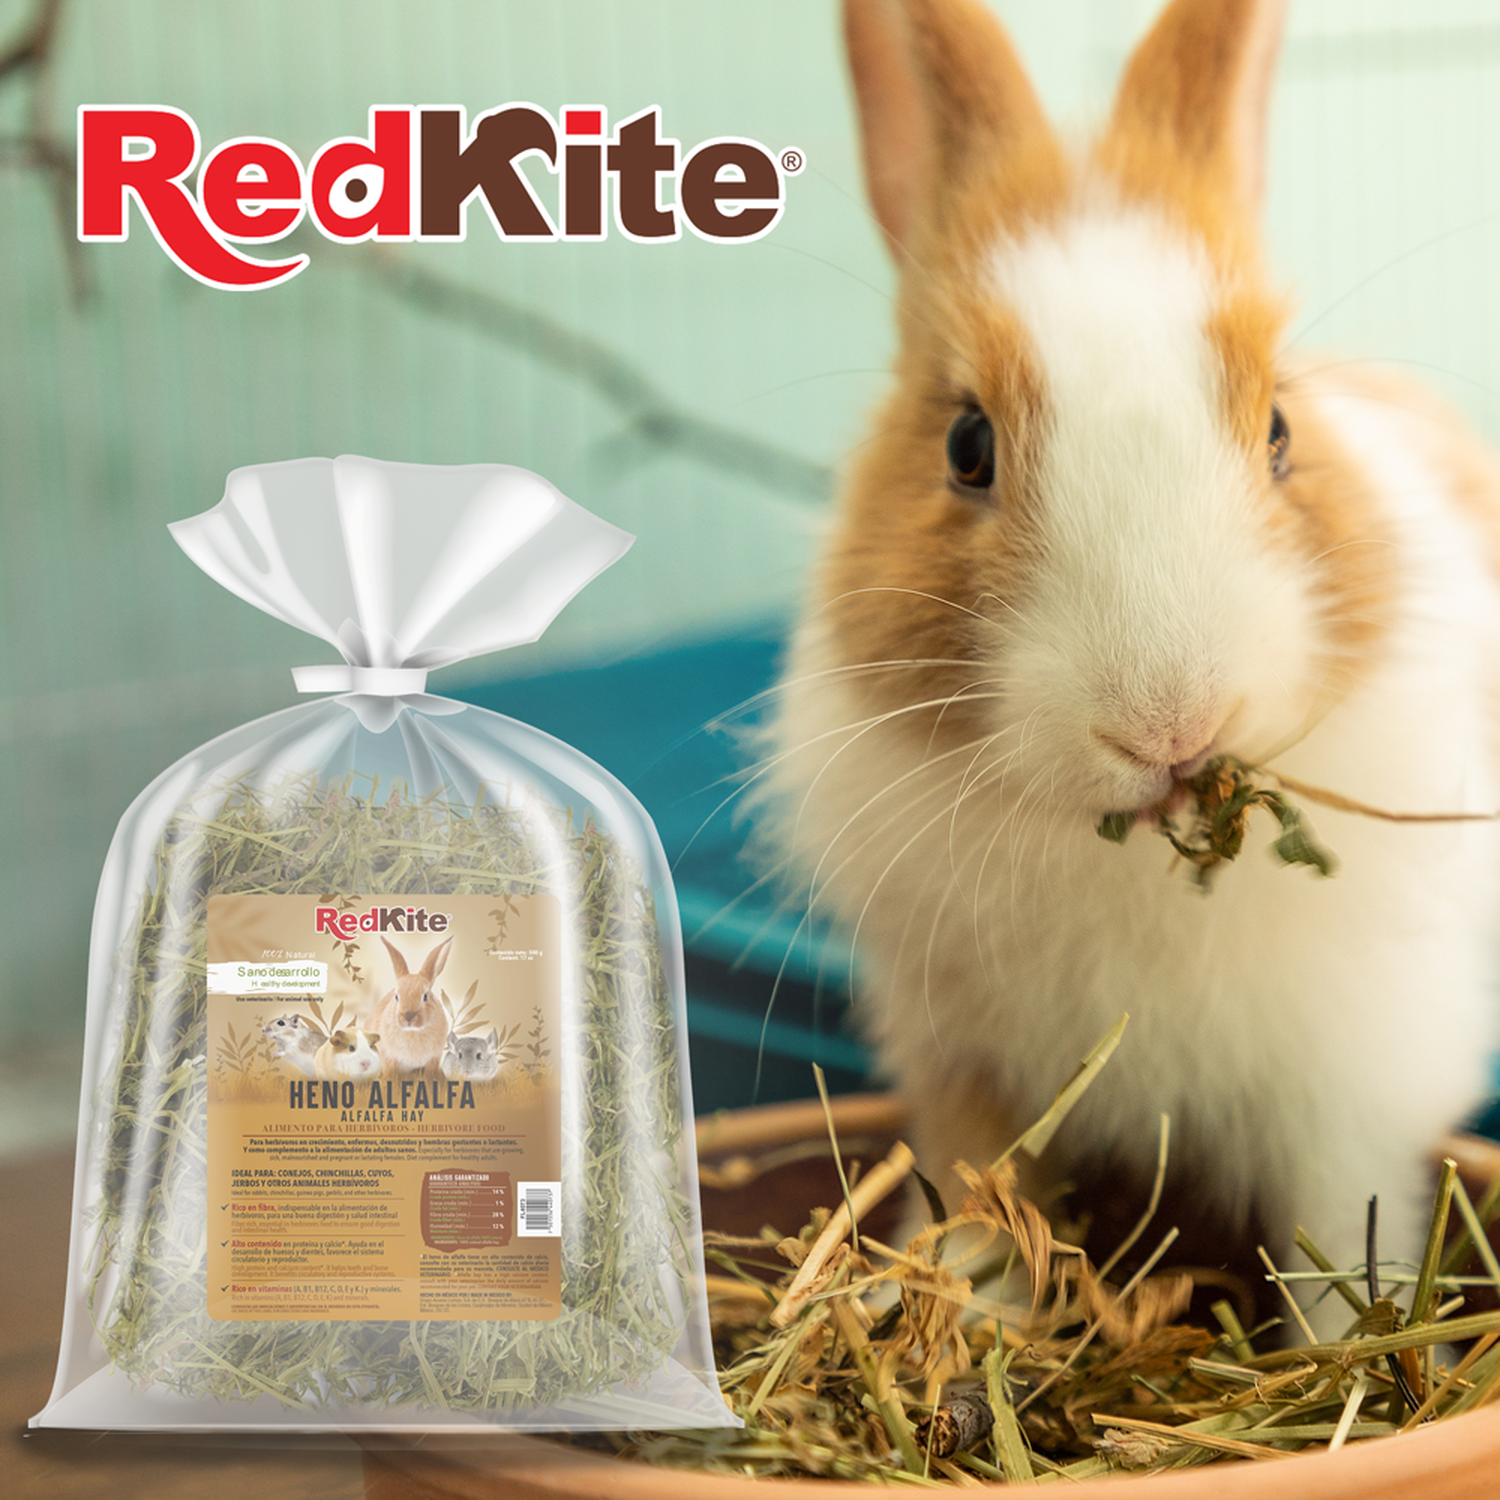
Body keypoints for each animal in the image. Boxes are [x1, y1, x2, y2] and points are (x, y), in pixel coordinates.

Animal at [366, 935, 453, 1075]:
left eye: (425, 996)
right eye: (396, 996)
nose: (408, 1017)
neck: (413, 1030)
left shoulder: (434, 1058)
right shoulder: (387, 1055)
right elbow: (390, 1071)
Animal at [764, 0, 1500, 1332]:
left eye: (1281, 430)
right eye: (966, 445)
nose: (1172, 724)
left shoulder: (1347, 1084)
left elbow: (1336, 1239)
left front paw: (1338, 1343)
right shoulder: (966, 1067)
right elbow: (982, 1204)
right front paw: (980, 1322)